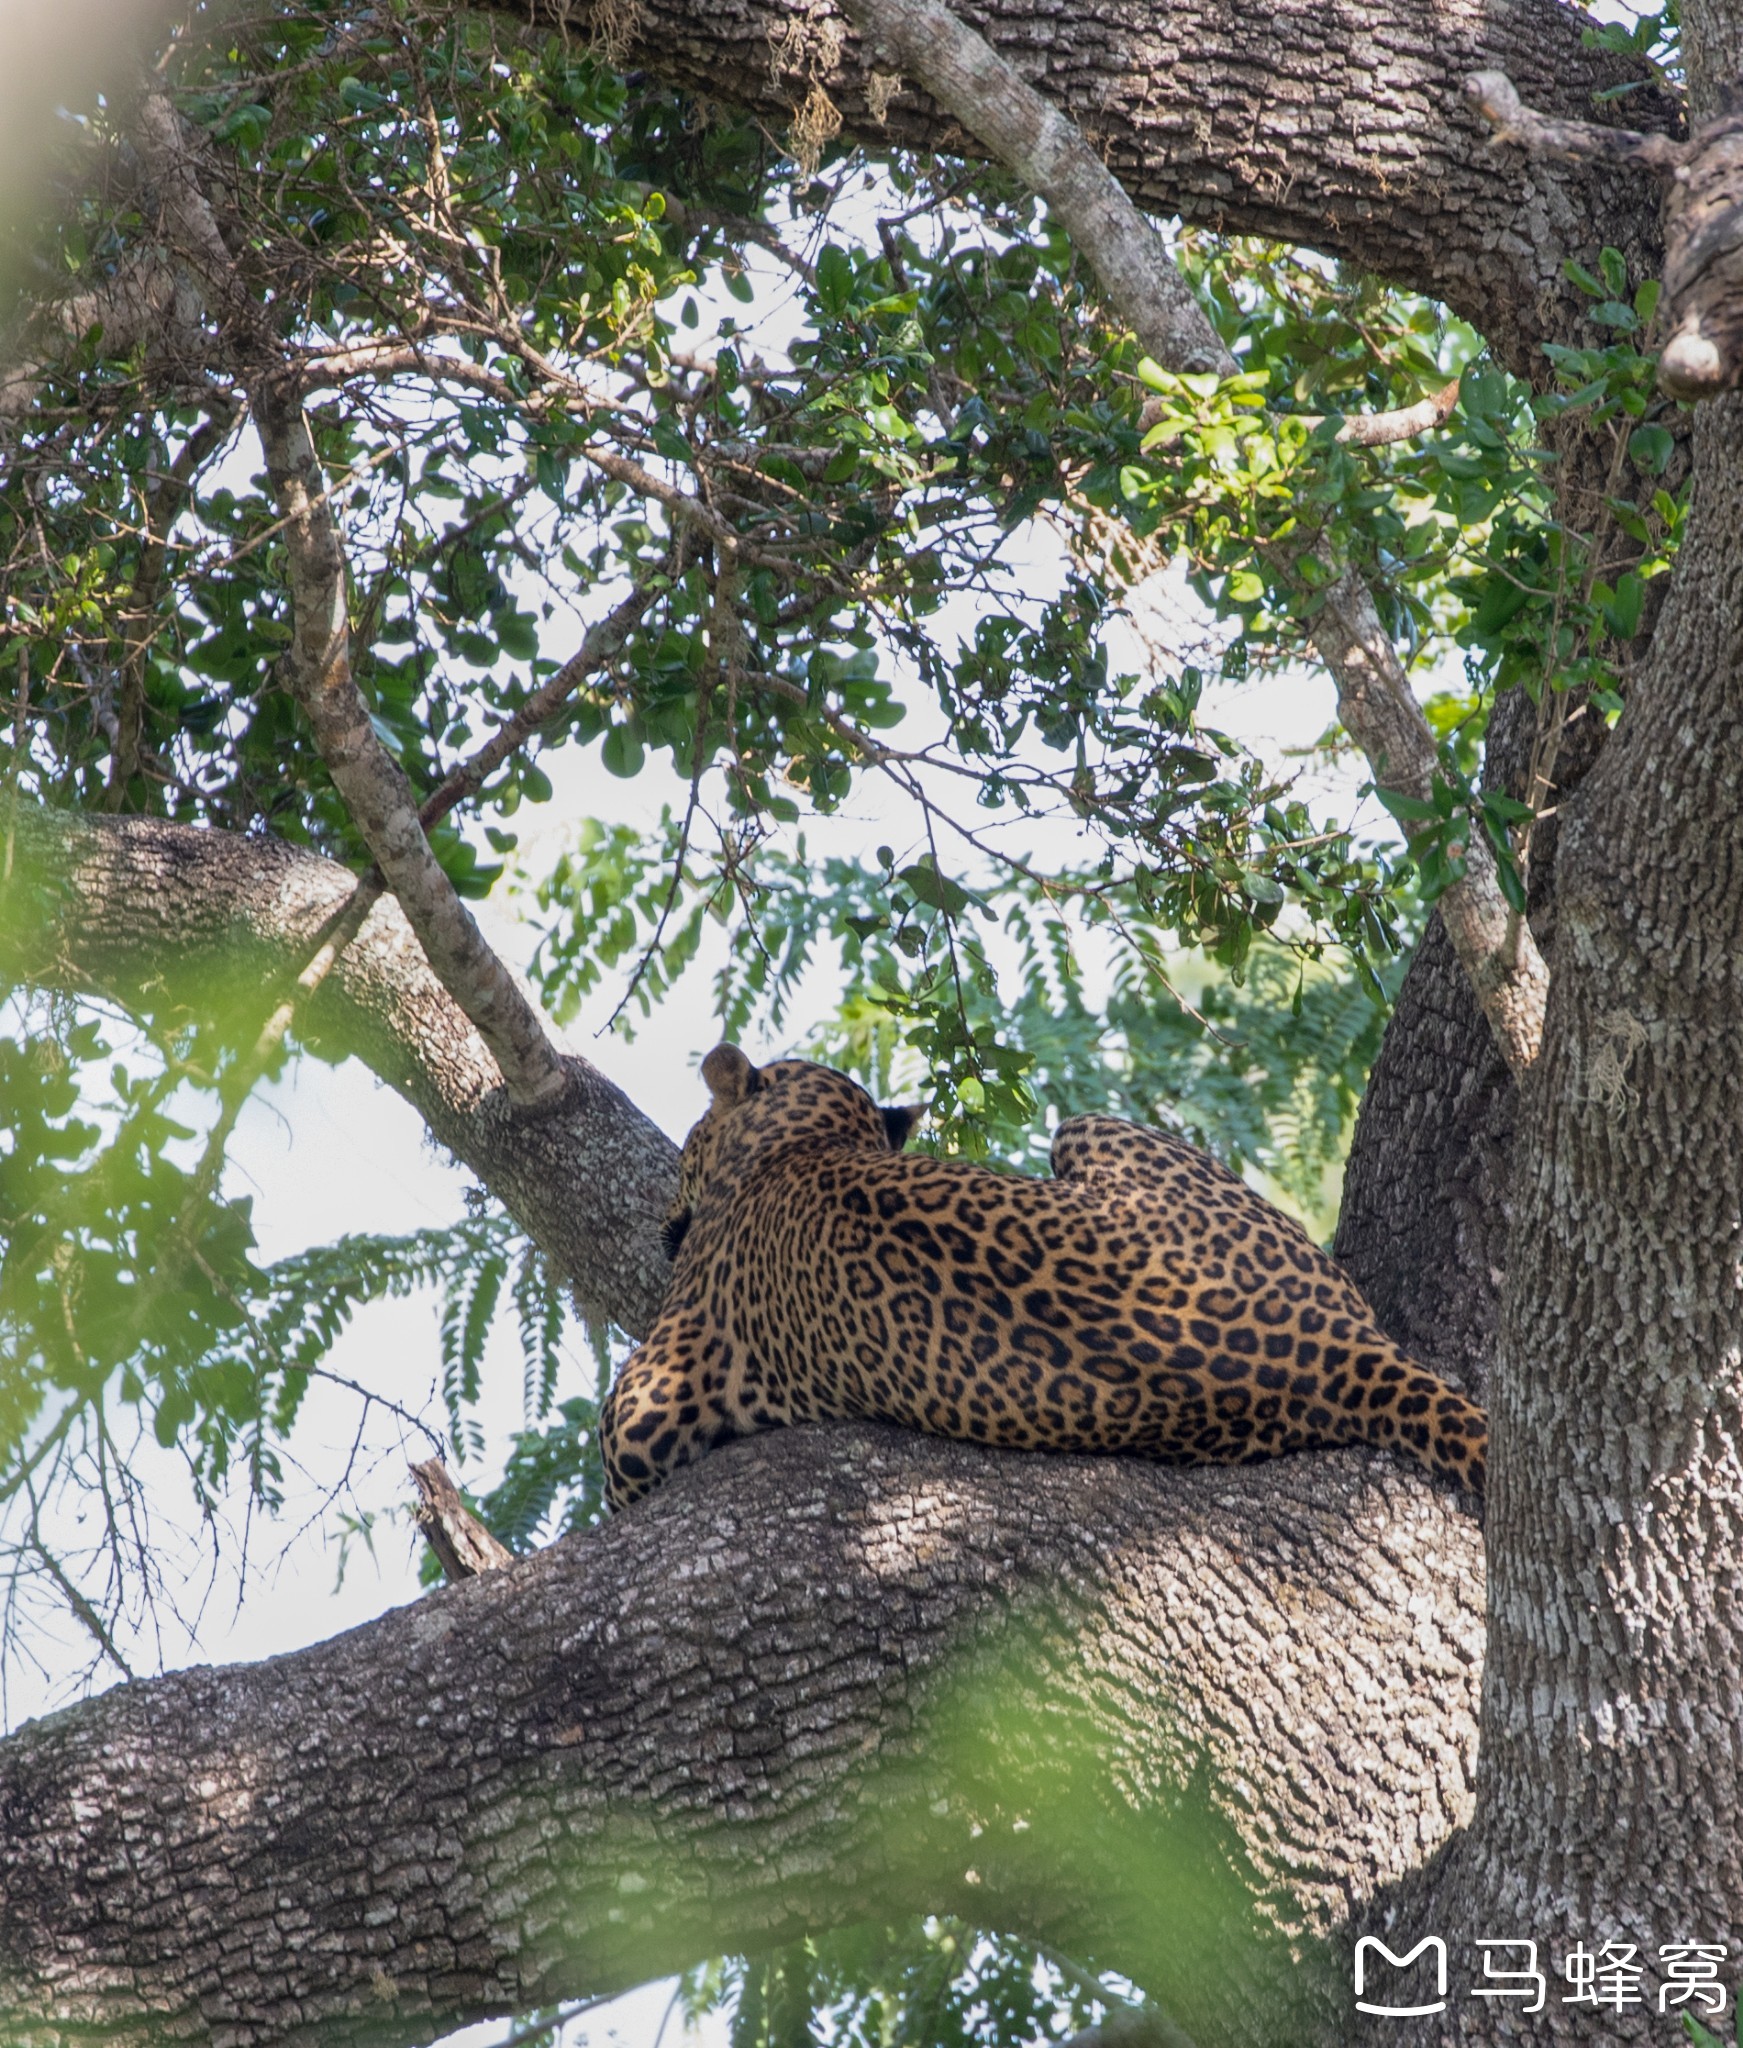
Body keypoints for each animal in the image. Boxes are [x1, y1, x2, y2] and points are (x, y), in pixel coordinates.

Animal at [598, 1048, 1482, 1515]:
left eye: (688, 1142)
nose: (669, 1213)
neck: (804, 1143)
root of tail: (1335, 1350)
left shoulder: (651, 1397)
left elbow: (624, 1448)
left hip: (1082, 1124)